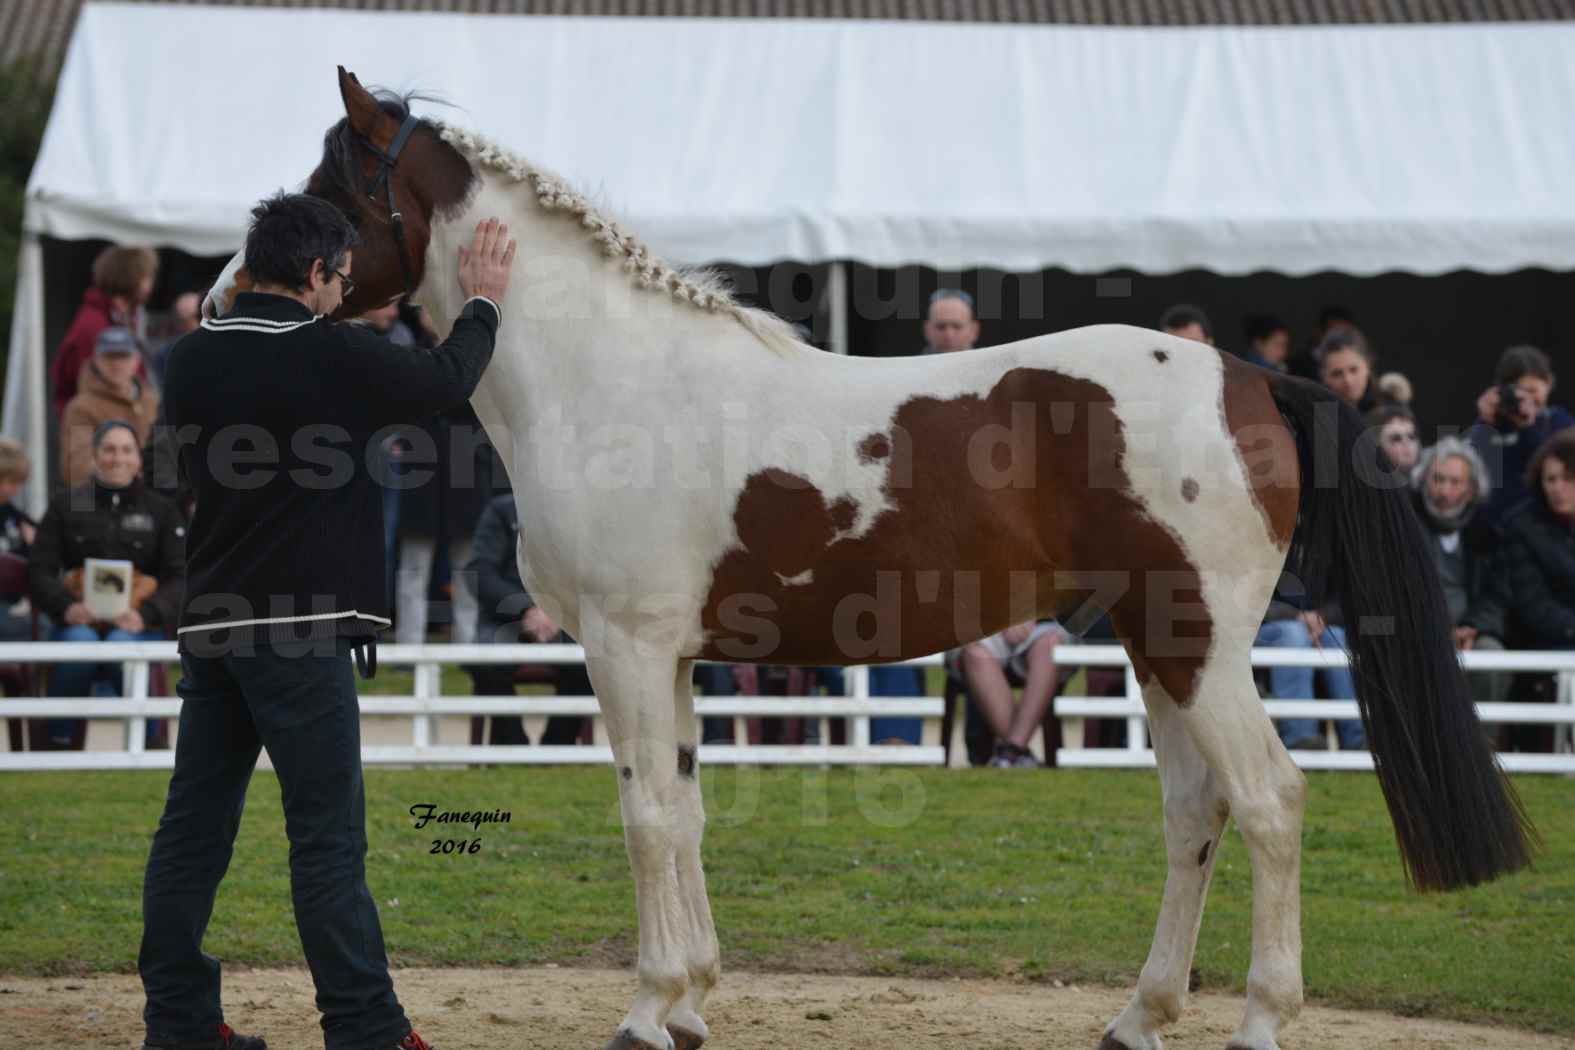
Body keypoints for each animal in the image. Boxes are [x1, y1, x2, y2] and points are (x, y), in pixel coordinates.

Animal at [203, 72, 1530, 1050]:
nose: (224, 300)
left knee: (1270, 802)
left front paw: (646, 1008)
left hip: (1202, 645)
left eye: (330, 188)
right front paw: (691, 1002)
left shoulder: (625, 649)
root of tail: (1253, 379)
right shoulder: (673, 658)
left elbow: (644, 820)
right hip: (1161, 648)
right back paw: (1140, 1016)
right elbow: (686, 811)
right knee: (1193, 813)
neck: (609, 379)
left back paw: (1260, 1020)